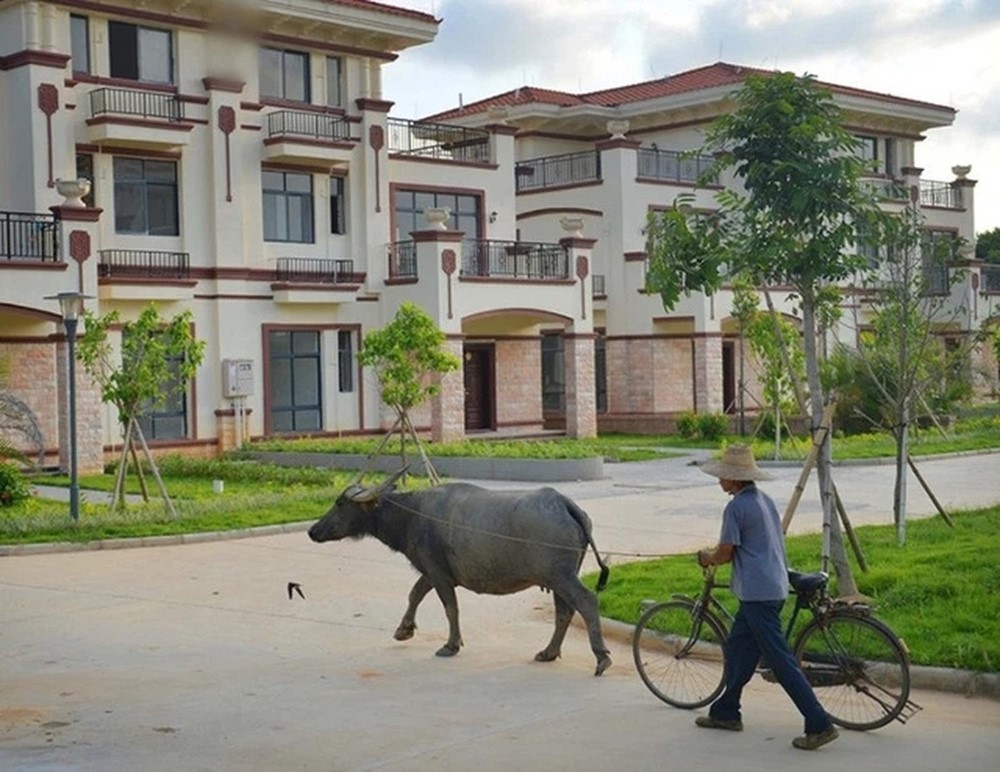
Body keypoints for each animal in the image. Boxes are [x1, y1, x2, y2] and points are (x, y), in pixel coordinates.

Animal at [308, 468, 612, 672]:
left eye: (340, 504)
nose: (313, 530)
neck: (412, 515)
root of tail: (564, 503)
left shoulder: (439, 573)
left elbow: (449, 607)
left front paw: (450, 645)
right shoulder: (431, 571)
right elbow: (415, 593)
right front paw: (403, 630)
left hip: (561, 575)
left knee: (586, 601)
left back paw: (601, 658)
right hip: (558, 577)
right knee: (564, 612)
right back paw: (548, 652)